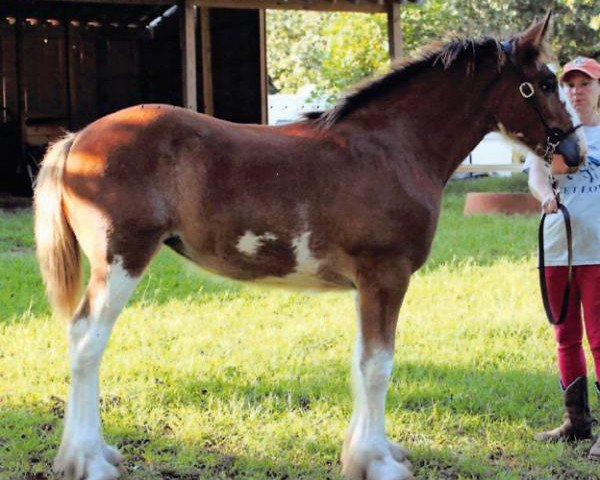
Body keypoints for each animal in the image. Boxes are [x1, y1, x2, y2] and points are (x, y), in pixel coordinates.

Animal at [34, 13, 584, 480]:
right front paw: (376, 462)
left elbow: (362, 362)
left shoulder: (367, 284)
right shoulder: (386, 275)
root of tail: (77, 138)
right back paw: (88, 460)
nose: (574, 151)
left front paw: (365, 453)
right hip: (122, 258)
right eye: (546, 82)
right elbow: (378, 366)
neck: (394, 147)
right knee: (87, 340)